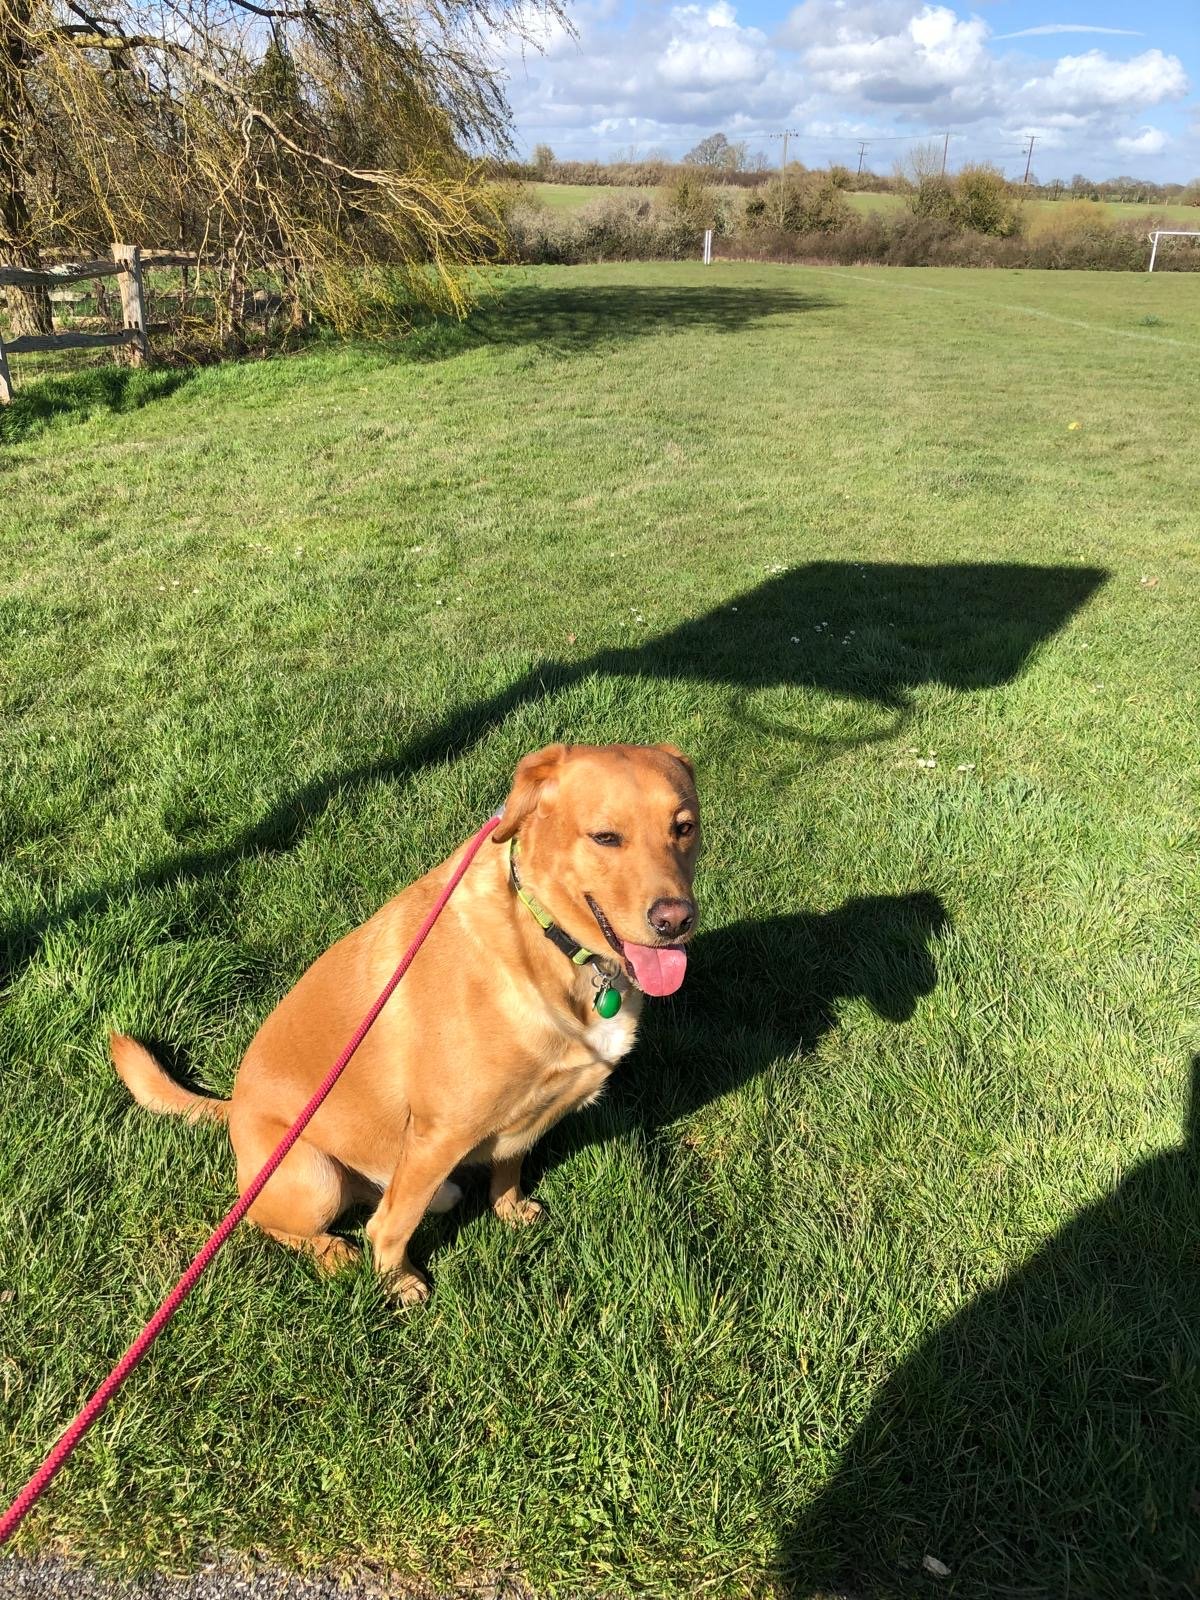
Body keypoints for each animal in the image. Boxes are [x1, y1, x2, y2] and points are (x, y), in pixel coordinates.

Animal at [117, 742, 700, 1305]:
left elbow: (508, 1167)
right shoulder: (437, 1135)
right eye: (605, 837)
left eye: (684, 826)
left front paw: (510, 1209)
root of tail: (233, 1107)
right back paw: (334, 1253)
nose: (675, 920)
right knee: (269, 1223)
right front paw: (397, 1282)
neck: (546, 940)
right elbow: (392, 1227)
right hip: (313, 1177)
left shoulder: (532, 1111)